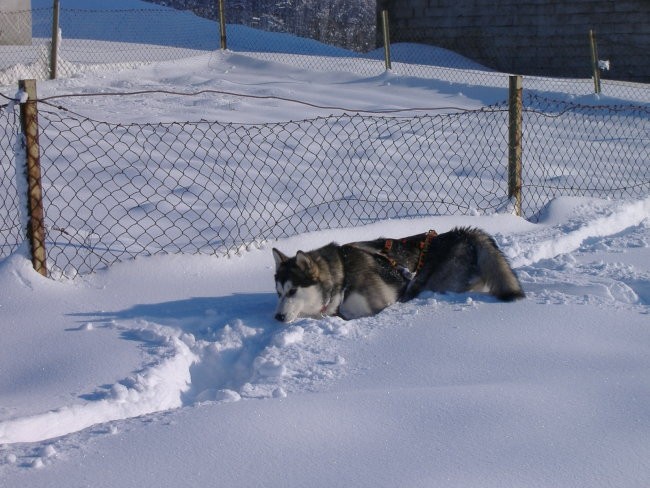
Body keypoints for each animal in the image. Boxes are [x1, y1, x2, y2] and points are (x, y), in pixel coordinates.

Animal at [272, 227, 520, 322]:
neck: (342, 278)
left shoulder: (379, 306)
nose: (278, 317)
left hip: (441, 282)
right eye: (279, 294)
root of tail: (464, 233)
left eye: (293, 291)